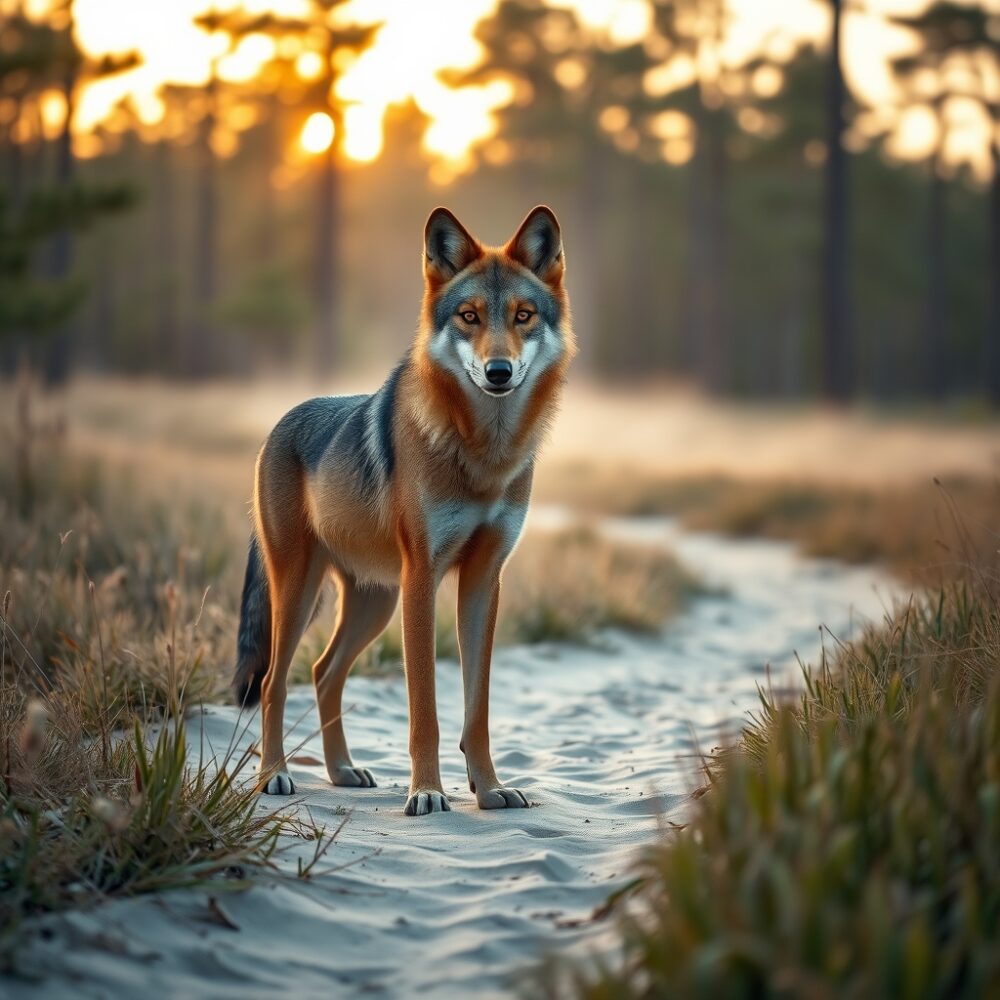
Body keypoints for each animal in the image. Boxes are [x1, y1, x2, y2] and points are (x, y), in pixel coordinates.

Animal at [232, 206, 574, 816]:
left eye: (523, 316)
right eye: (469, 316)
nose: (499, 371)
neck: (483, 455)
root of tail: (277, 426)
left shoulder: (483, 580)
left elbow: (477, 712)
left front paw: (489, 789)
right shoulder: (422, 579)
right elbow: (426, 711)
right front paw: (427, 792)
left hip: (373, 603)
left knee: (323, 674)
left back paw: (342, 771)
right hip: (299, 593)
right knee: (274, 682)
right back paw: (273, 775)